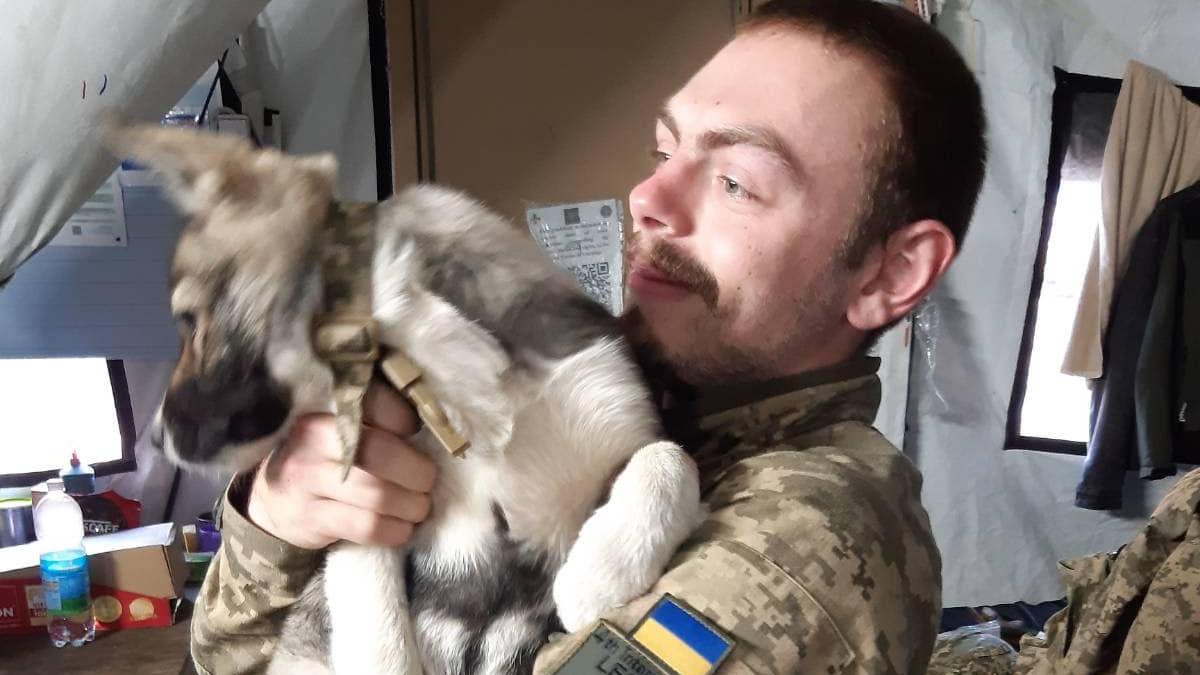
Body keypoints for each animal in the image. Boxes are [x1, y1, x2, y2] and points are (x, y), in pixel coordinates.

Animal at [112, 127, 700, 672]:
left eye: (188, 320)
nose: (155, 441)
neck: (451, 385)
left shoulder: (617, 409)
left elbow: (670, 456)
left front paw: (603, 569)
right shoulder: (366, 526)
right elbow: (382, 641)